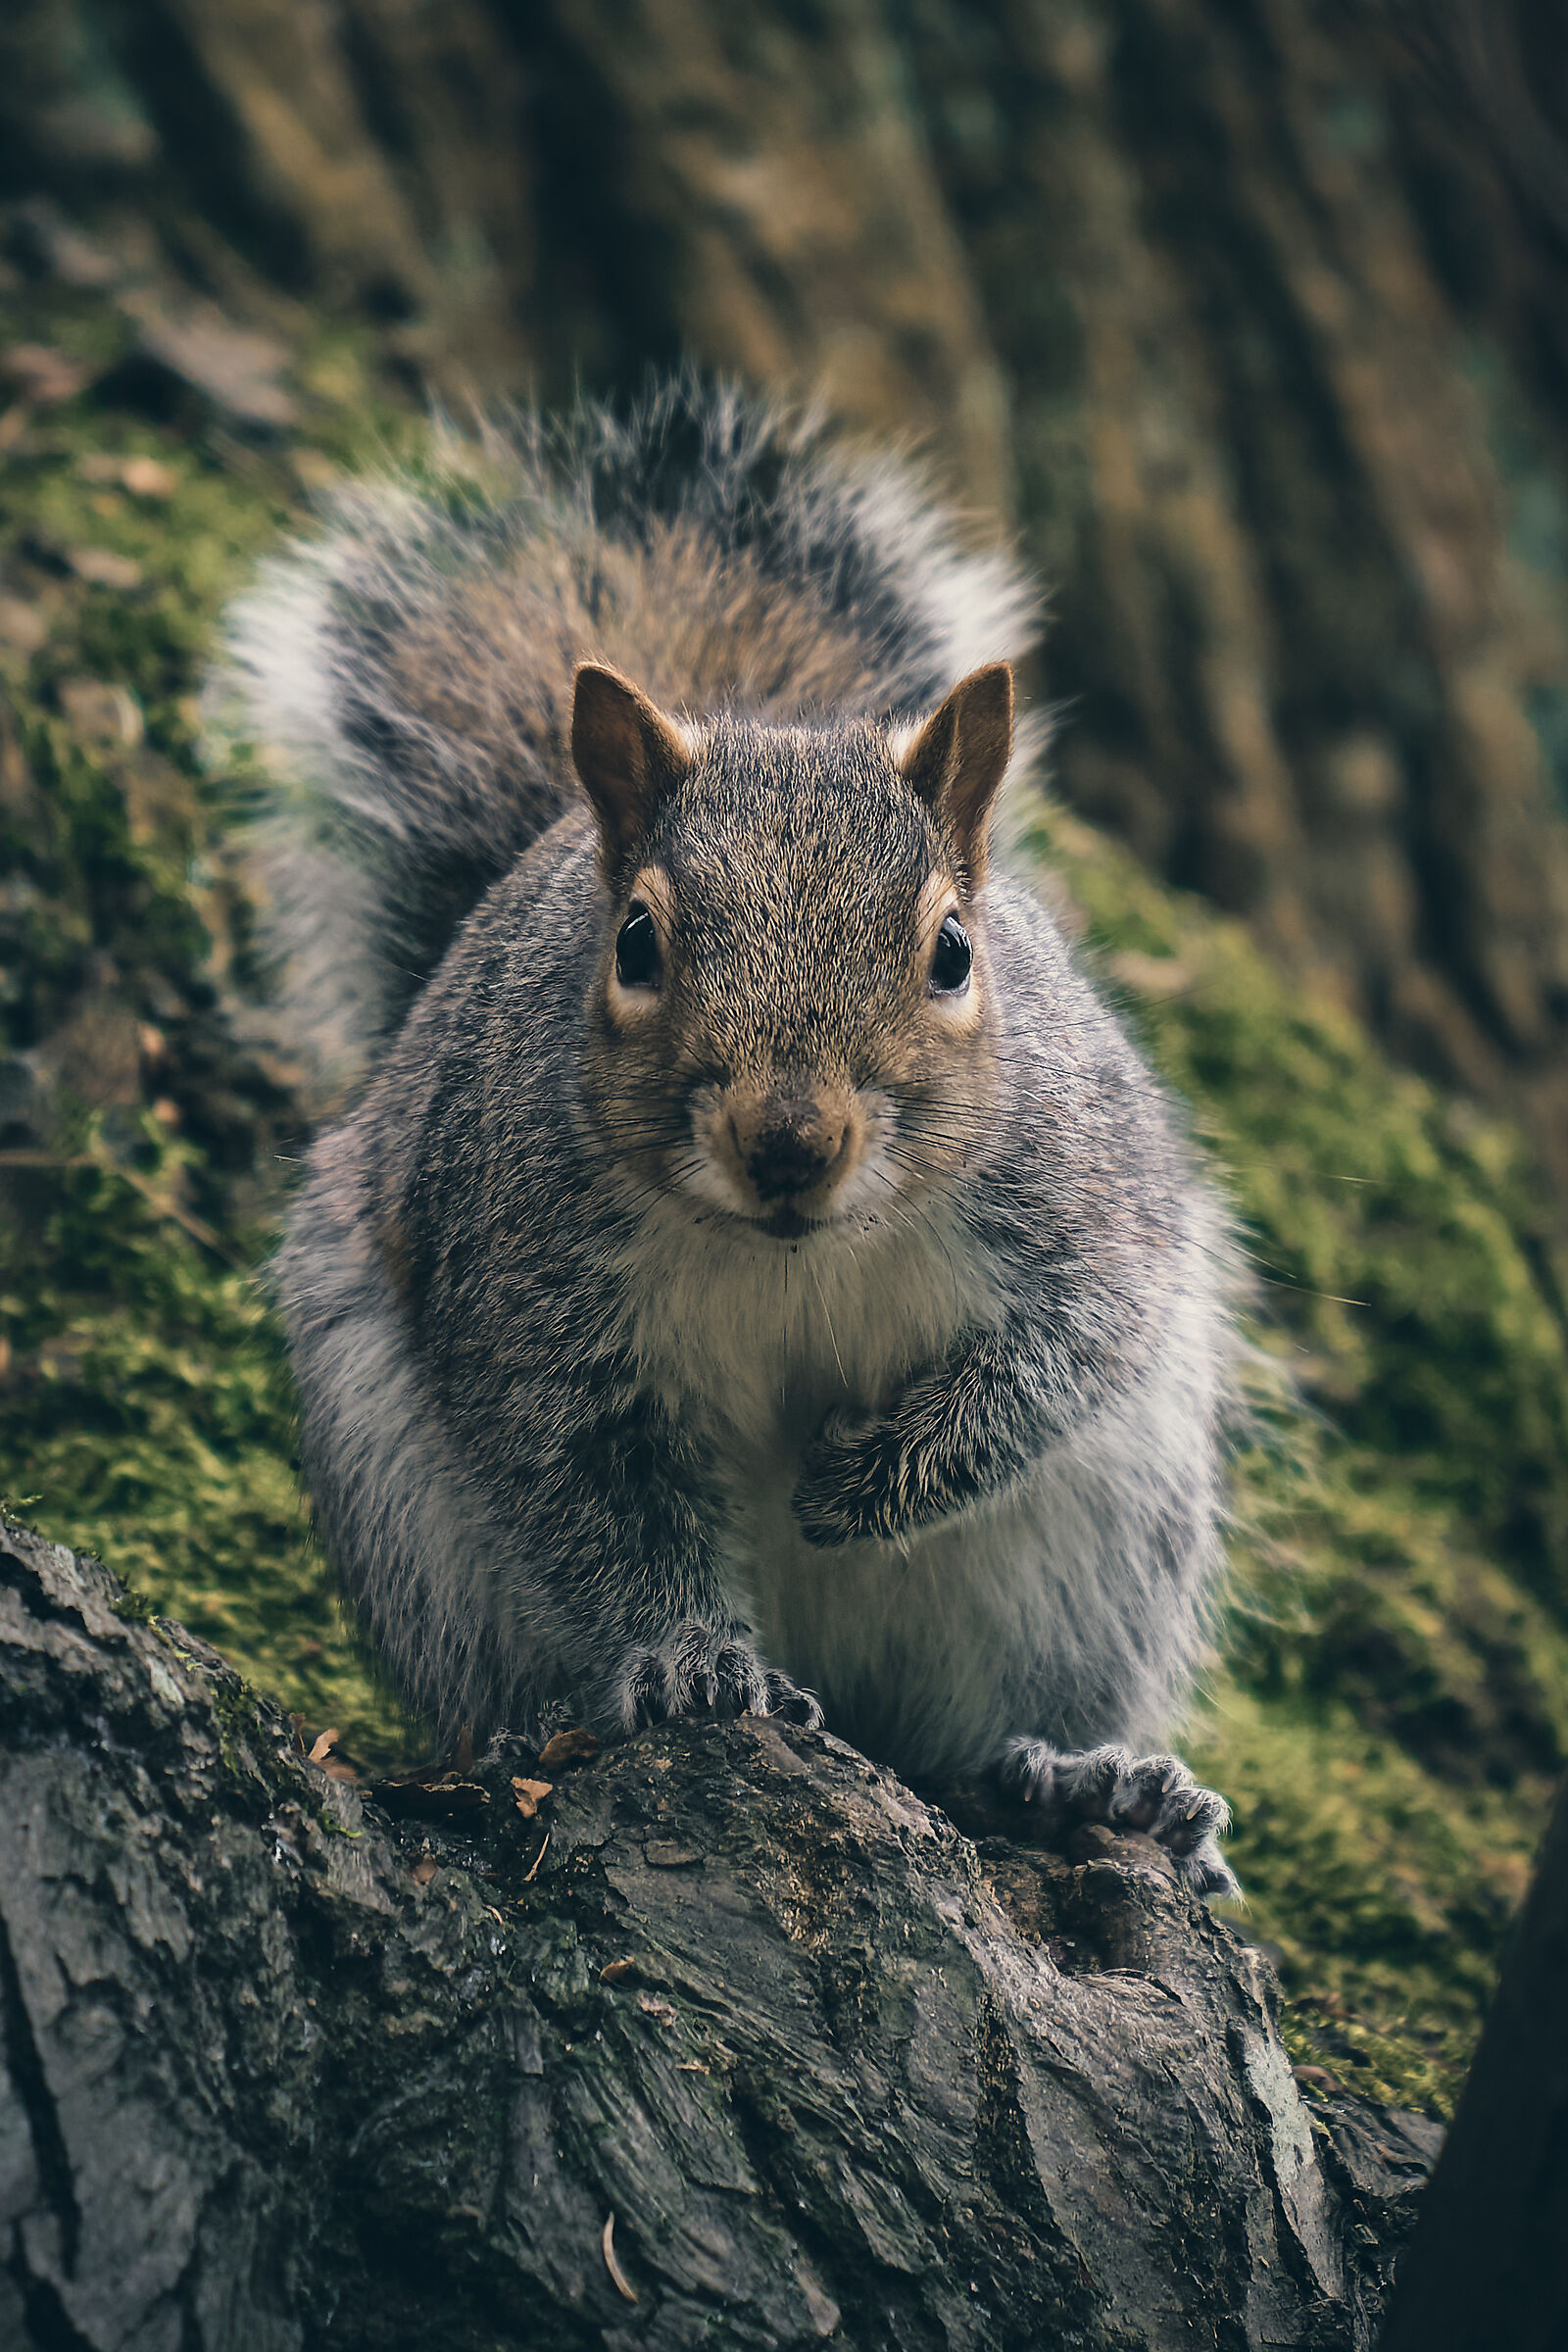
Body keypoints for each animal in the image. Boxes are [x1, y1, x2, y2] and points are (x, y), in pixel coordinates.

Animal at [215, 381, 1239, 1896]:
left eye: (953, 951)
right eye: (635, 941)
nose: (789, 1143)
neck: (794, 1250)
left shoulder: (1078, 1197)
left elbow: (1062, 1356)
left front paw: (867, 1485)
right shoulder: (527, 1290)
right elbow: (590, 1494)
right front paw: (692, 1664)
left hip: (1105, 1549)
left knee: (984, 1732)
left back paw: (1086, 1777)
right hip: (408, 1511)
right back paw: (537, 1729)